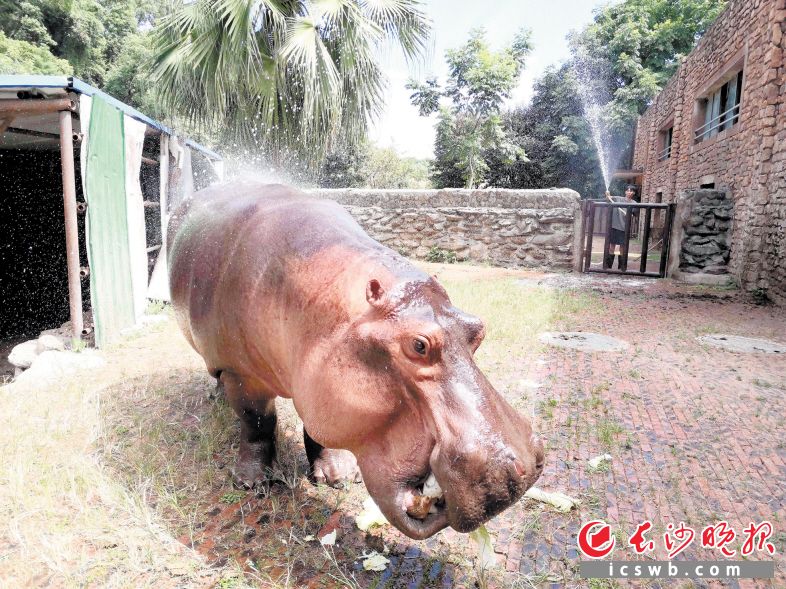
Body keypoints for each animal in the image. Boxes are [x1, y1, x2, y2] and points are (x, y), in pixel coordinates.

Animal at [168, 181, 544, 540]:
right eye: (419, 345)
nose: (519, 469)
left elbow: (316, 427)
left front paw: (339, 476)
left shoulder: (318, 384)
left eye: (477, 328)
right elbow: (257, 423)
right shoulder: (241, 373)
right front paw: (253, 483)